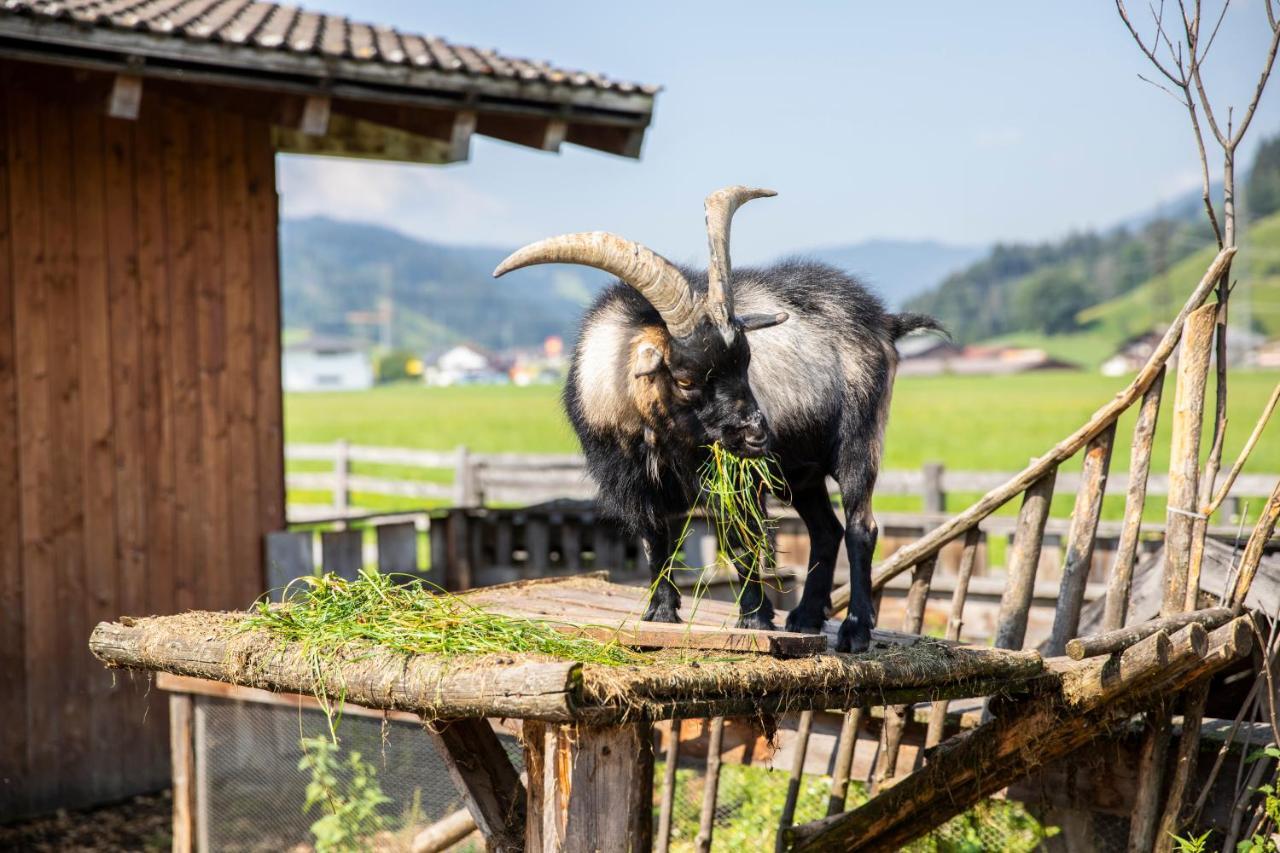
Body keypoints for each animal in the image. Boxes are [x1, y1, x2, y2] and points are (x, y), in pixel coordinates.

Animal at [488, 188, 942, 650]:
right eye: (686, 379)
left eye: (746, 361)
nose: (758, 434)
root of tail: (884, 321)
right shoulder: (637, 481)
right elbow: (657, 541)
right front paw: (660, 612)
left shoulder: (734, 479)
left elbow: (741, 542)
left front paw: (755, 620)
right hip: (802, 471)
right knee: (826, 530)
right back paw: (804, 618)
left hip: (859, 440)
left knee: (861, 527)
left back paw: (854, 630)